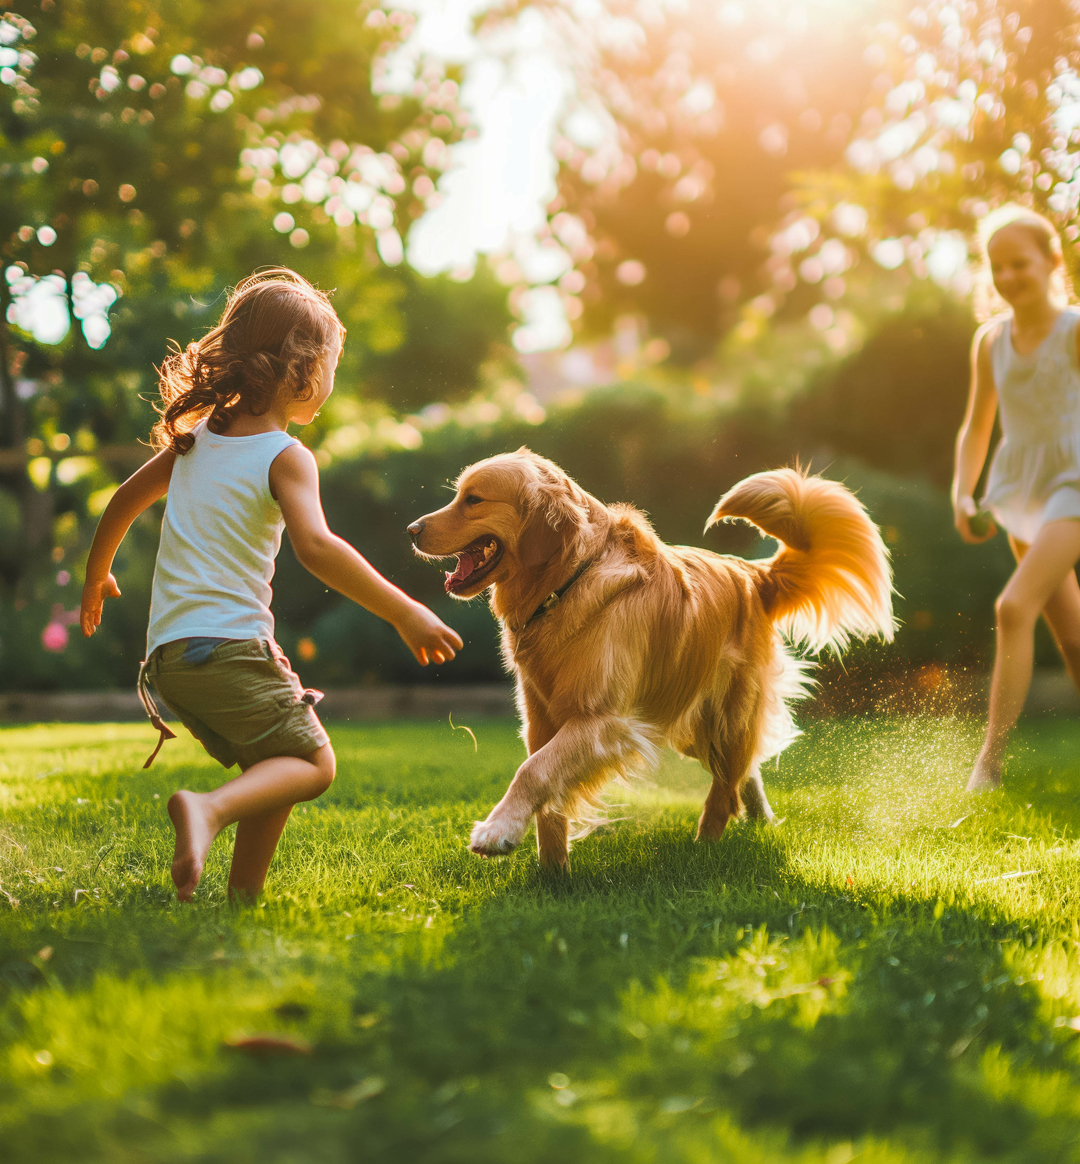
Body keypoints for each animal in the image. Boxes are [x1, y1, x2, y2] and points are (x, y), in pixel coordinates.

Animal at [407, 449, 893, 870]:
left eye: (473, 500)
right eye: (459, 494)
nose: (411, 529)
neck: (568, 582)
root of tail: (752, 574)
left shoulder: (603, 721)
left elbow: (532, 771)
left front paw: (498, 831)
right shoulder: (542, 720)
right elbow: (548, 792)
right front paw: (552, 873)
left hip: (723, 713)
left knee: (725, 790)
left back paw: (703, 850)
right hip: (690, 722)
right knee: (745, 770)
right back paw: (761, 819)